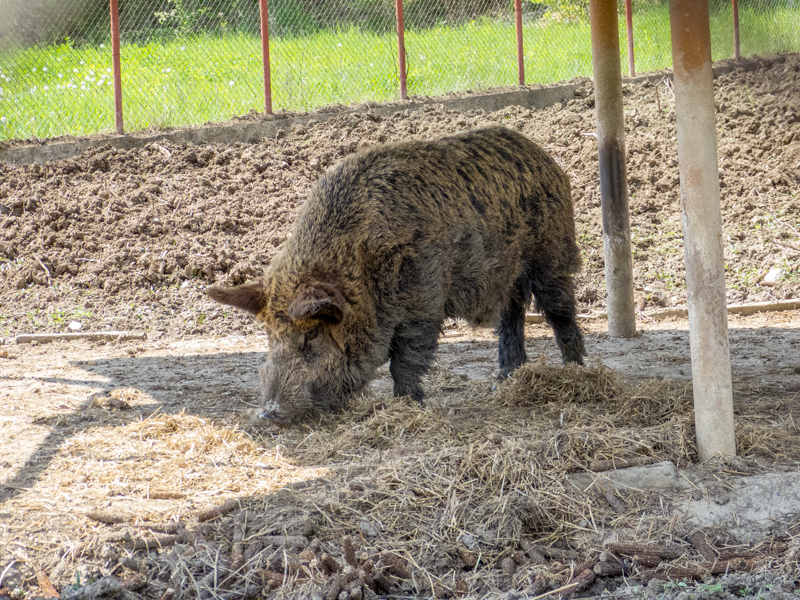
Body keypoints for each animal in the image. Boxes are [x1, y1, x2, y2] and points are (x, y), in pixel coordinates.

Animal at [208, 126, 585, 425]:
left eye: (311, 336)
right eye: (270, 336)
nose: (269, 413)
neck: (359, 269)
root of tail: (545, 158)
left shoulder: (423, 301)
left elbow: (406, 359)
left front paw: (407, 404)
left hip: (552, 253)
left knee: (560, 311)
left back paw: (575, 371)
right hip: (508, 277)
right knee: (511, 316)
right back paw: (502, 383)